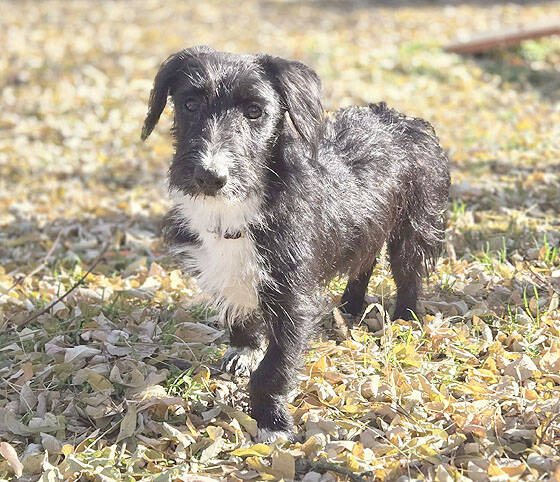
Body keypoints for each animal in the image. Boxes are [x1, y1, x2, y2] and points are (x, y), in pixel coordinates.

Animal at [142, 46, 450, 442]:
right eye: (190, 104)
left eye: (255, 111)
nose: (210, 177)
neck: (244, 204)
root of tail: (404, 117)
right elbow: (241, 314)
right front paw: (244, 351)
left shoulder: (293, 297)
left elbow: (276, 365)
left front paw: (271, 422)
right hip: (365, 225)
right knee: (364, 260)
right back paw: (350, 306)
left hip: (414, 226)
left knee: (407, 273)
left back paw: (404, 320)